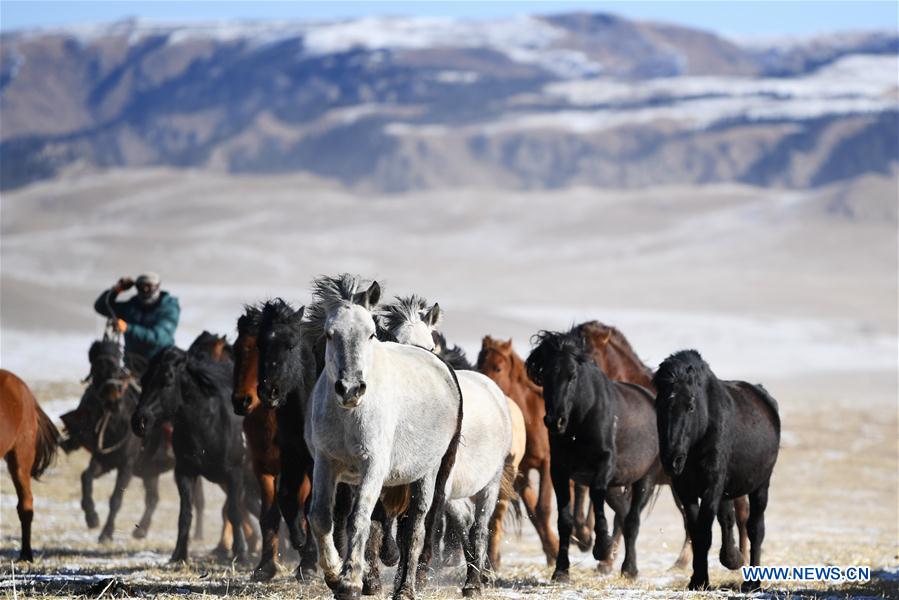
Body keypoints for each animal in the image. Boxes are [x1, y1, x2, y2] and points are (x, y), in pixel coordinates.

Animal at [132, 345, 255, 563]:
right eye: (144, 379)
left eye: (168, 380)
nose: (139, 421)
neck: (209, 424)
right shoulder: (185, 472)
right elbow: (185, 514)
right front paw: (179, 554)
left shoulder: (235, 473)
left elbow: (234, 511)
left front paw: (241, 554)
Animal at [303, 274, 463, 600]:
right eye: (329, 334)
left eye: (371, 334)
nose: (350, 389)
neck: (350, 416)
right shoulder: (326, 462)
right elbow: (322, 517)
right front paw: (335, 575)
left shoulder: (374, 465)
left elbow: (360, 519)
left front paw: (351, 582)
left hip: (429, 472)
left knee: (415, 527)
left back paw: (406, 588)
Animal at [376, 295, 517, 593]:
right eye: (396, 341)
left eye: (431, 346)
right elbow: (387, 516)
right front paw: (391, 557)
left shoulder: (436, 481)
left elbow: (422, 525)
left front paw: (415, 577)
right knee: (464, 521)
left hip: (489, 482)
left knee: (479, 527)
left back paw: (474, 583)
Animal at [525, 328, 662, 581]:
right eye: (545, 374)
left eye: (572, 376)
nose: (555, 421)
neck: (581, 419)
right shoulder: (559, 470)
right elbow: (564, 520)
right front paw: (561, 570)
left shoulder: (604, 464)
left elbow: (596, 495)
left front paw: (601, 547)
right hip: (617, 486)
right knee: (624, 515)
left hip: (646, 479)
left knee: (632, 519)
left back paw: (629, 569)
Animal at [654, 350, 780, 591]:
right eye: (659, 406)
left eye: (690, 406)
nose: (672, 460)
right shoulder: (686, 490)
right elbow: (697, 532)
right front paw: (697, 579)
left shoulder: (711, 486)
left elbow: (704, 532)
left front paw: (701, 579)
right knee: (728, 520)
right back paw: (733, 558)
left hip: (761, 485)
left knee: (755, 529)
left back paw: (753, 582)